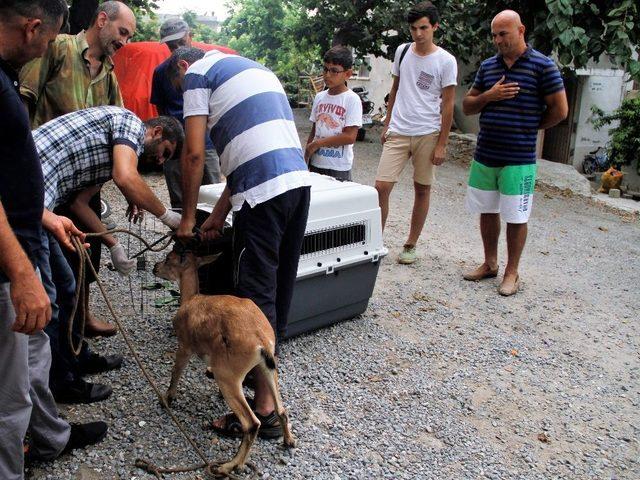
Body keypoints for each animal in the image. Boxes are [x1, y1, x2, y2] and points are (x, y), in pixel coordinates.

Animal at [69, 231, 258, 478]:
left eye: (169, 259)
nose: (155, 267)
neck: (190, 298)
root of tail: (263, 340)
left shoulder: (185, 344)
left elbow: (176, 371)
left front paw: (167, 398)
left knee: (252, 420)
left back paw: (232, 463)